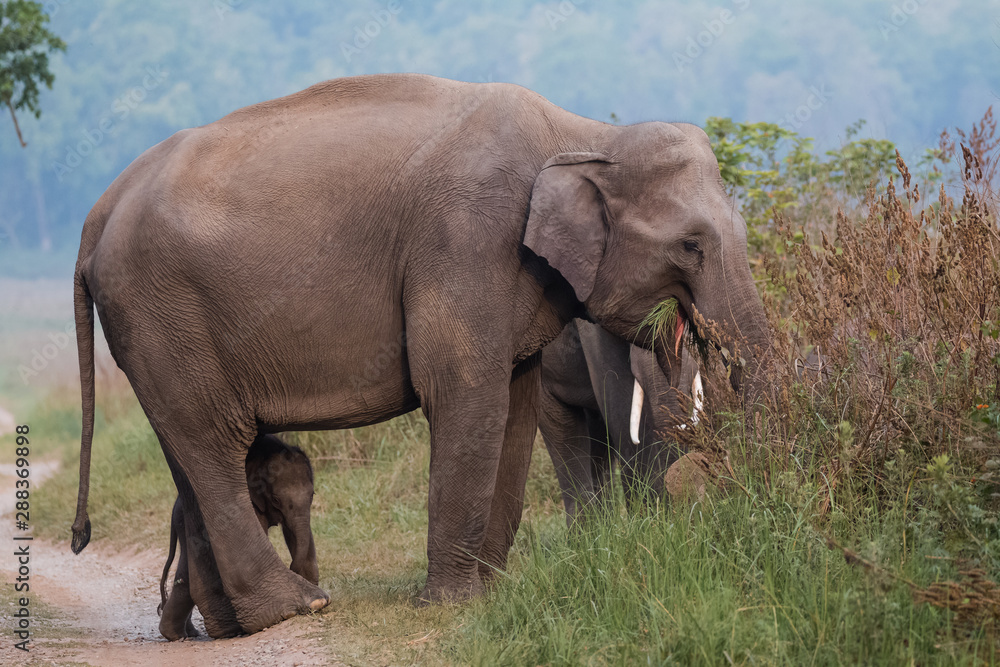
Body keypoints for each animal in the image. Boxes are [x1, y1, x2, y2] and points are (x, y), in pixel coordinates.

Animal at [158, 434, 318, 640]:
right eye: (276, 499)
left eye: (312, 494)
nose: (292, 568)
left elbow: (293, 532)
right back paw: (180, 635)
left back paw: (181, 633)